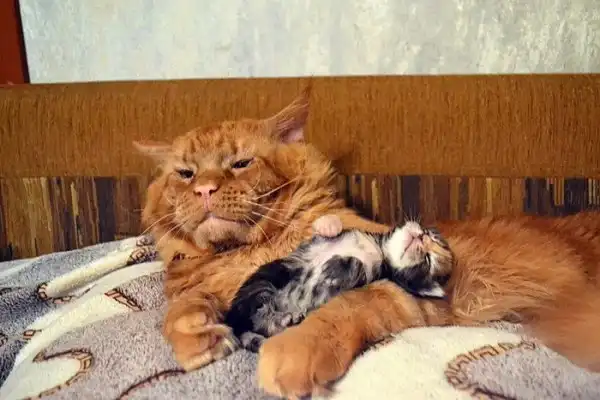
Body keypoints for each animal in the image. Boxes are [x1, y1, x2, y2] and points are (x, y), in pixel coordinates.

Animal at [226, 214, 453, 352]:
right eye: (429, 234)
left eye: (428, 261)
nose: (422, 236)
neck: (378, 248)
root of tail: (232, 320)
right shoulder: (313, 241)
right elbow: (324, 228)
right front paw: (329, 225)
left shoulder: (369, 276)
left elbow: (357, 268)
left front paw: (340, 265)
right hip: (263, 282)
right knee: (257, 315)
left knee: (257, 323)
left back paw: (284, 321)